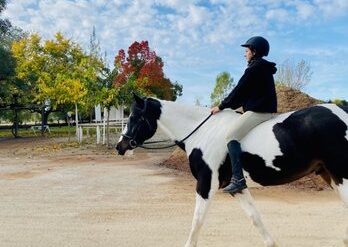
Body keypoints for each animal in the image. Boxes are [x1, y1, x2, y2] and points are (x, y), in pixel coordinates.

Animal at [116, 94, 348, 247]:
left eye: (134, 117)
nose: (120, 146)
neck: (202, 133)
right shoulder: (237, 188)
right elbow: (255, 217)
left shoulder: (205, 185)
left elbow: (197, 221)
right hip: (329, 175)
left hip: (341, 174)